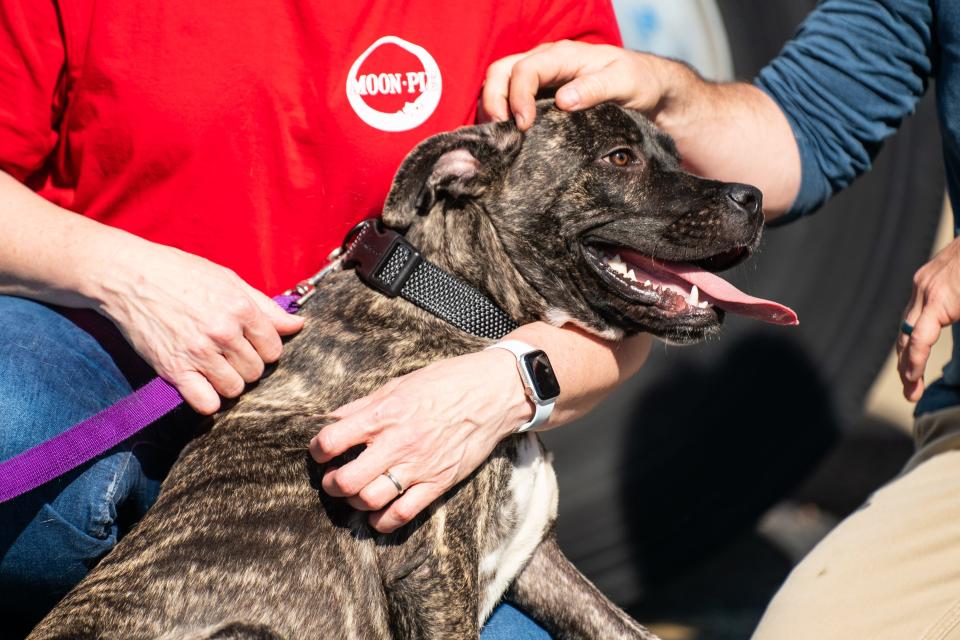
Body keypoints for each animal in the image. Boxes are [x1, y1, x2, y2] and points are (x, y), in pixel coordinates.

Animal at [31, 102, 764, 636]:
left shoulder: (538, 561)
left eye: (673, 152)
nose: (754, 197)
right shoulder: (431, 570)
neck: (458, 303)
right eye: (619, 157)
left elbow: (625, 627)